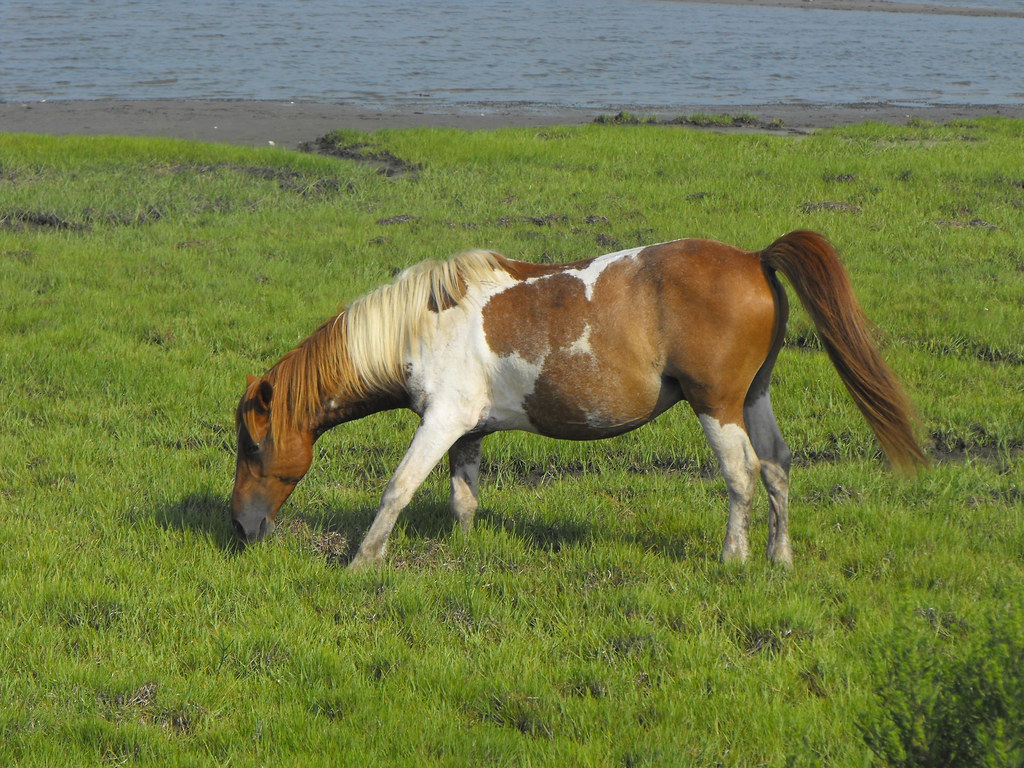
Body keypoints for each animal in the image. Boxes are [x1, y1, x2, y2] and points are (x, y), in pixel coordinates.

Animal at [231, 230, 926, 569]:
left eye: (254, 445)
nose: (239, 526)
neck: (420, 325)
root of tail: (755, 259)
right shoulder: (468, 432)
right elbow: (463, 499)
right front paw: (463, 553)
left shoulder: (441, 420)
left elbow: (397, 489)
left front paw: (363, 563)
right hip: (755, 396)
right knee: (778, 468)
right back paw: (779, 561)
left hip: (717, 405)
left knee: (743, 475)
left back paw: (734, 559)